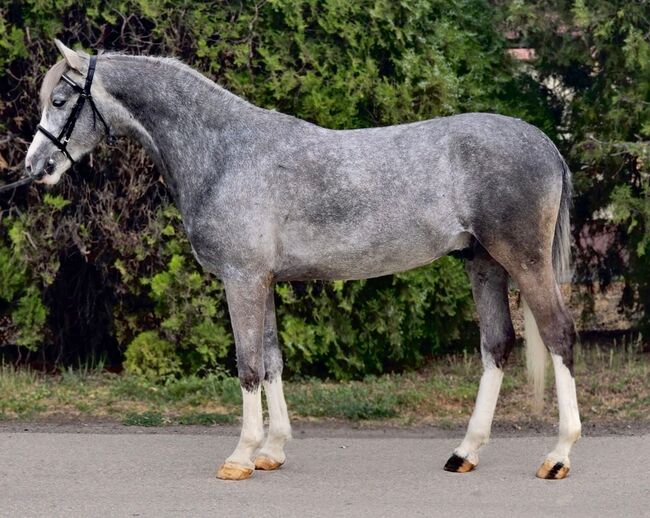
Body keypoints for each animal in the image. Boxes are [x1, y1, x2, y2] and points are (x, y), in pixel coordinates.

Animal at [24, 40, 576, 484]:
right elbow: (272, 361)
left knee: (558, 335)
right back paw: (465, 453)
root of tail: (547, 144)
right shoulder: (261, 280)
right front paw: (271, 450)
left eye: (60, 100)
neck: (224, 152)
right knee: (497, 344)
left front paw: (241, 457)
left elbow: (248, 365)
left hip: (524, 261)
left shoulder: (242, 279)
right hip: (482, 262)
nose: (34, 168)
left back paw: (558, 456)